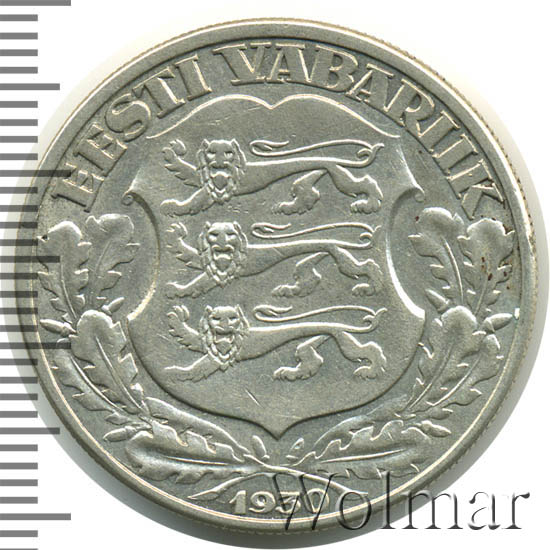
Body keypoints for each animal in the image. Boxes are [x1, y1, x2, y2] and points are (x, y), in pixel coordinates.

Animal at [160, 138, 383, 216]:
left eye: (229, 153)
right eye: (212, 152)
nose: (221, 162)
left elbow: (193, 199)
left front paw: (174, 207)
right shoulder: (206, 184)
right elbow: (188, 175)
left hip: (338, 176)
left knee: (365, 183)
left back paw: (368, 204)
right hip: (307, 178)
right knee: (307, 194)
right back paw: (289, 207)